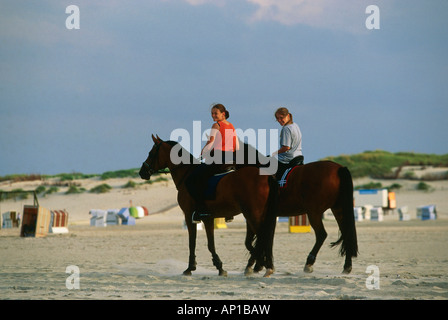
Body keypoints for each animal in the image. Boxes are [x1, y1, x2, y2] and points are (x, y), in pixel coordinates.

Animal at [139, 135, 280, 278]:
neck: (186, 174)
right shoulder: (208, 218)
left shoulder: (189, 216)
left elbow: (193, 242)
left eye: (151, 153)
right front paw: (220, 267)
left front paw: (190, 268)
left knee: (263, 237)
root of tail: (266, 176)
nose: (142, 172)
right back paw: (262, 264)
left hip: (253, 214)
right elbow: (210, 243)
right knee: (263, 239)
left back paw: (264, 265)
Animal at [240, 142, 358, 276]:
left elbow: (256, 240)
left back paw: (309, 263)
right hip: (338, 209)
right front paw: (259, 265)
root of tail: (339, 168)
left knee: (322, 234)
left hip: (314, 212)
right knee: (346, 233)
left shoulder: (254, 215)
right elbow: (262, 240)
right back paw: (347, 266)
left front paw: (254, 265)